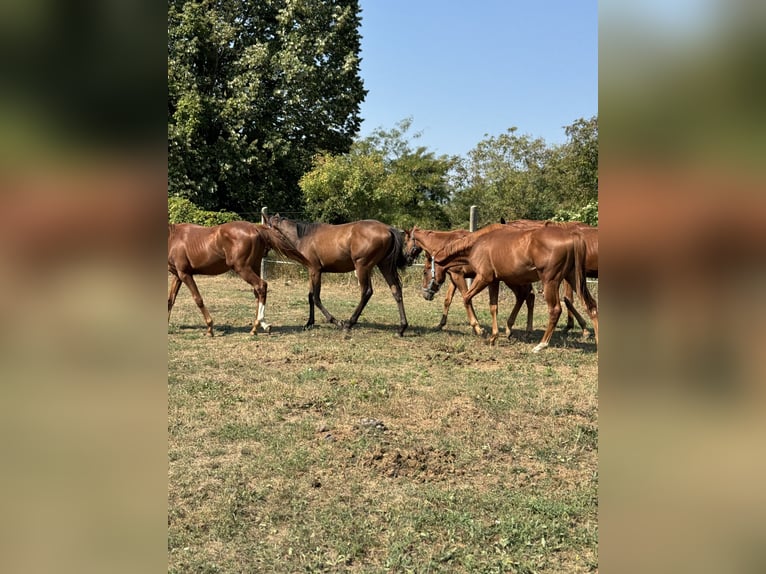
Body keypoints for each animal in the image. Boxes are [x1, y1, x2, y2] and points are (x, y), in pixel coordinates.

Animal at [168, 222, 300, 338]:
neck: (173, 237)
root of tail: (255, 228)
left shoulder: (185, 274)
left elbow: (198, 299)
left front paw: (210, 329)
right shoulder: (177, 275)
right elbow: (170, 300)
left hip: (242, 268)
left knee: (261, 286)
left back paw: (262, 324)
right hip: (254, 267)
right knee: (257, 292)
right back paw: (255, 328)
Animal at [268, 216, 412, 338]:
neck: (305, 236)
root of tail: (388, 229)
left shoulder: (315, 270)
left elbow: (316, 298)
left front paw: (336, 322)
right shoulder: (311, 271)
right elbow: (310, 296)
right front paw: (309, 323)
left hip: (363, 267)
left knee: (366, 292)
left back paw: (349, 323)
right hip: (384, 266)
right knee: (396, 291)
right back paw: (401, 328)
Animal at [404, 226, 536, 342]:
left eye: (424, 272)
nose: (407, 258)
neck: (445, 243)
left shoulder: (458, 275)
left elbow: (466, 298)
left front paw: (477, 328)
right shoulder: (453, 277)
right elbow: (448, 300)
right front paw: (441, 324)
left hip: (511, 280)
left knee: (525, 296)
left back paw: (516, 330)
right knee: (526, 296)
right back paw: (518, 330)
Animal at [432, 223, 600, 354]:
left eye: (429, 267)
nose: (430, 291)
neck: (478, 244)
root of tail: (572, 236)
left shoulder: (483, 278)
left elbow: (466, 298)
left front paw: (479, 329)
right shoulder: (494, 281)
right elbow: (493, 307)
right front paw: (493, 337)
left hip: (550, 282)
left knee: (555, 310)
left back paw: (541, 345)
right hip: (574, 279)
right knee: (591, 306)